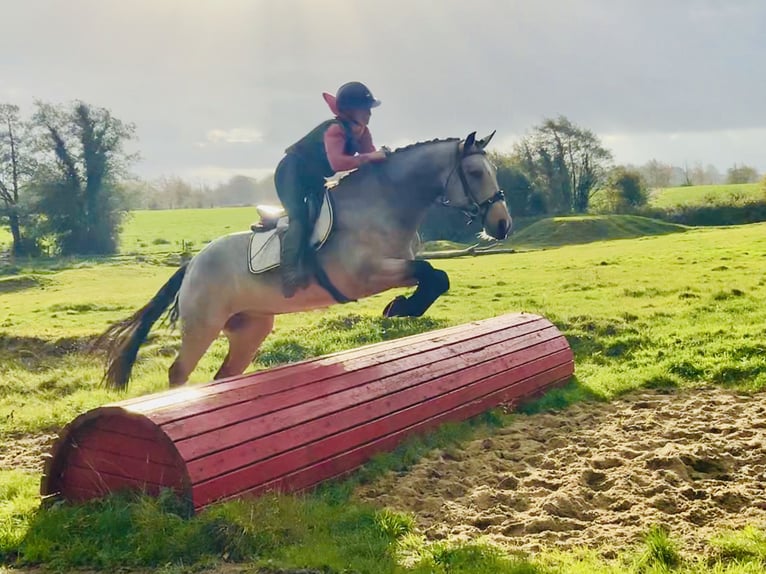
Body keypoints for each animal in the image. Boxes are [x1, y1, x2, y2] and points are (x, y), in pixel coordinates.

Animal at [97, 132, 516, 390]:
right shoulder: (365, 275)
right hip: (203, 325)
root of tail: (192, 264)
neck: (384, 204)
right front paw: (400, 307)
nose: (502, 224)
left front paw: (402, 306)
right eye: (475, 172)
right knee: (179, 372)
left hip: (250, 328)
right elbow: (431, 273)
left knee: (224, 374)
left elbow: (434, 276)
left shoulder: (396, 265)